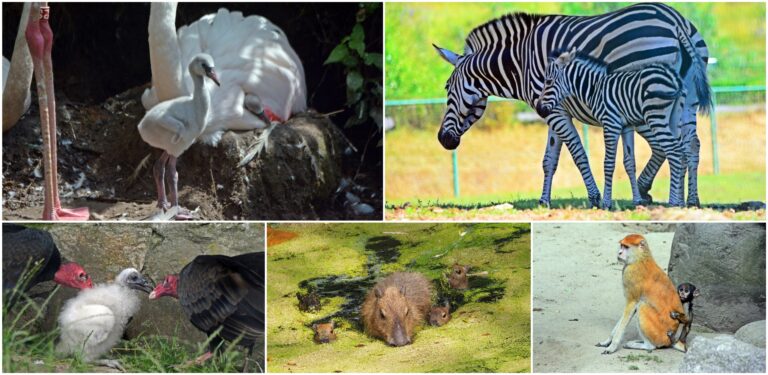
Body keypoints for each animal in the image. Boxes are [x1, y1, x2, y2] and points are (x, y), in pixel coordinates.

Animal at [536, 47, 688, 209]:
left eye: (548, 81)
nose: (539, 110)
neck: (595, 89)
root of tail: (673, 77)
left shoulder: (610, 124)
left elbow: (608, 163)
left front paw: (606, 203)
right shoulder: (626, 127)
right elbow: (630, 162)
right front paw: (637, 201)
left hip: (656, 118)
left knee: (673, 151)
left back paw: (673, 202)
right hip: (674, 119)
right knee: (681, 152)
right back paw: (680, 202)